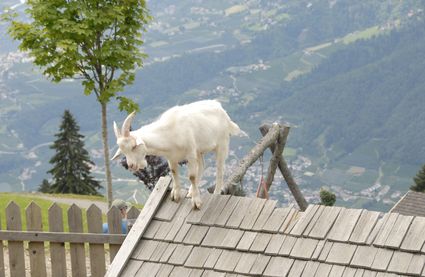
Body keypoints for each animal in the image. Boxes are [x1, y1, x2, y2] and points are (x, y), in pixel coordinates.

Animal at [111, 100, 242, 208]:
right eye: (123, 151)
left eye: (133, 146)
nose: (132, 166)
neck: (169, 132)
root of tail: (221, 109)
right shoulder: (171, 157)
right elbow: (174, 172)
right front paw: (176, 195)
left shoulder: (190, 153)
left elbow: (191, 176)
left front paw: (196, 202)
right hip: (198, 150)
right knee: (202, 166)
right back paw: (190, 192)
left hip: (222, 143)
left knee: (220, 168)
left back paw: (216, 193)